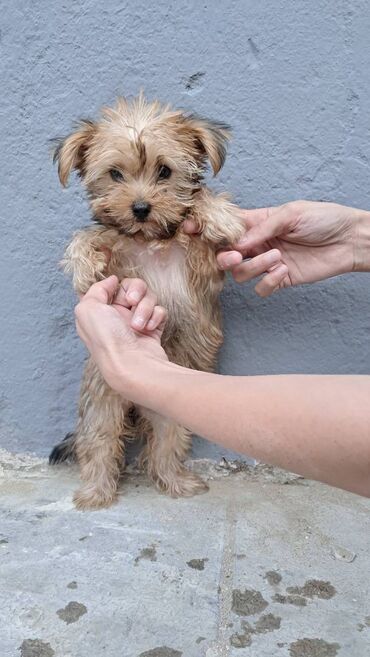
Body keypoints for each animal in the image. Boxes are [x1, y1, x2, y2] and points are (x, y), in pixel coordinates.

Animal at [49, 95, 246, 510]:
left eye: (165, 171)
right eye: (115, 174)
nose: (140, 208)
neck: (150, 238)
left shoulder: (205, 264)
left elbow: (200, 205)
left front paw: (220, 215)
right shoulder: (118, 262)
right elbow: (87, 236)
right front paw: (82, 263)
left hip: (171, 411)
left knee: (165, 447)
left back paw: (177, 482)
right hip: (101, 405)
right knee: (99, 446)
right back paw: (95, 493)